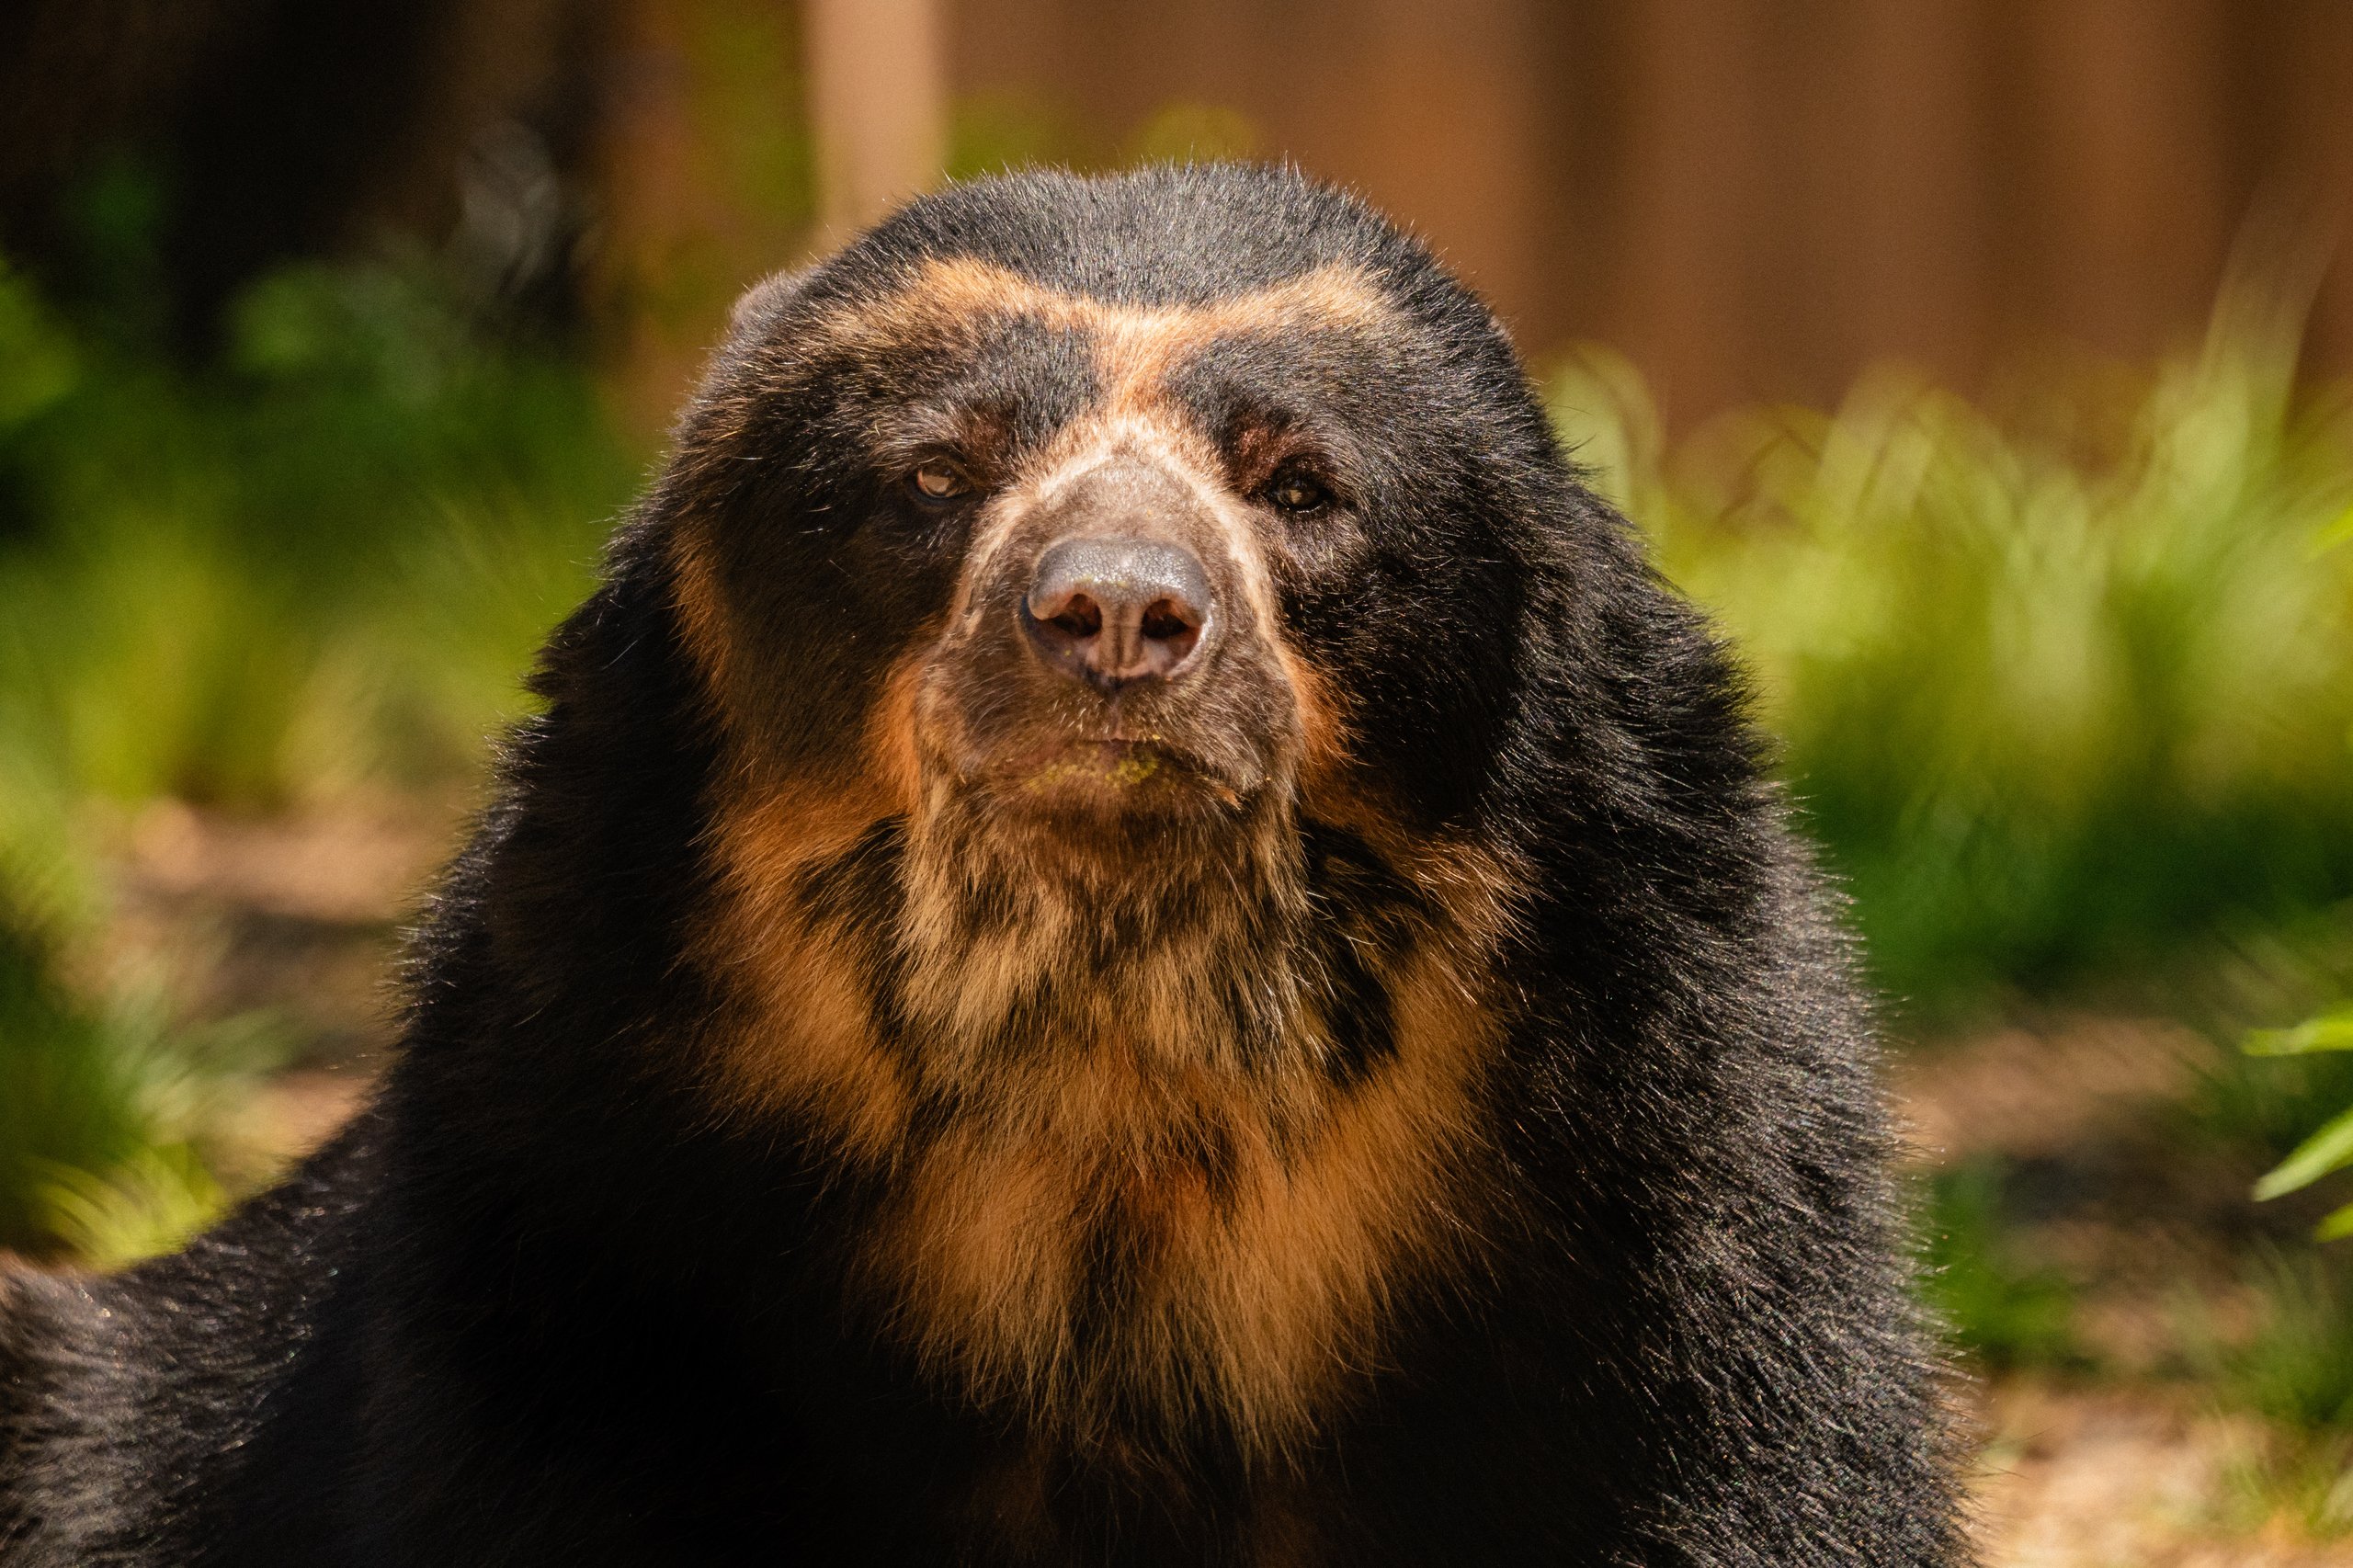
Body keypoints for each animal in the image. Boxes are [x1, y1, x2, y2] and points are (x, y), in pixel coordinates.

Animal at [0, 163, 1967, 1566]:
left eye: (1302, 486)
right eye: (936, 474)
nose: (1116, 614)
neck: (1107, 1059)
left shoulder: (1673, 1185)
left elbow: (1744, 1465)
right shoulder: (582, 1195)